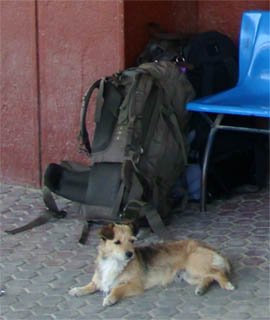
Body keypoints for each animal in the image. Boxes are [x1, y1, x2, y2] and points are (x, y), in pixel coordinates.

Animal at [69, 224, 234, 306]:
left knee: (217, 273)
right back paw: (201, 288)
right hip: (188, 275)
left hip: (195, 267)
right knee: (209, 277)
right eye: (117, 242)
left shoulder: (134, 285)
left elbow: (117, 289)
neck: (114, 262)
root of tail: (207, 247)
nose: (130, 254)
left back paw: (226, 285)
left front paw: (110, 298)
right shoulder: (100, 280)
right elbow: (90, 286)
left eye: (132, 240)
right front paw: (78, 290)